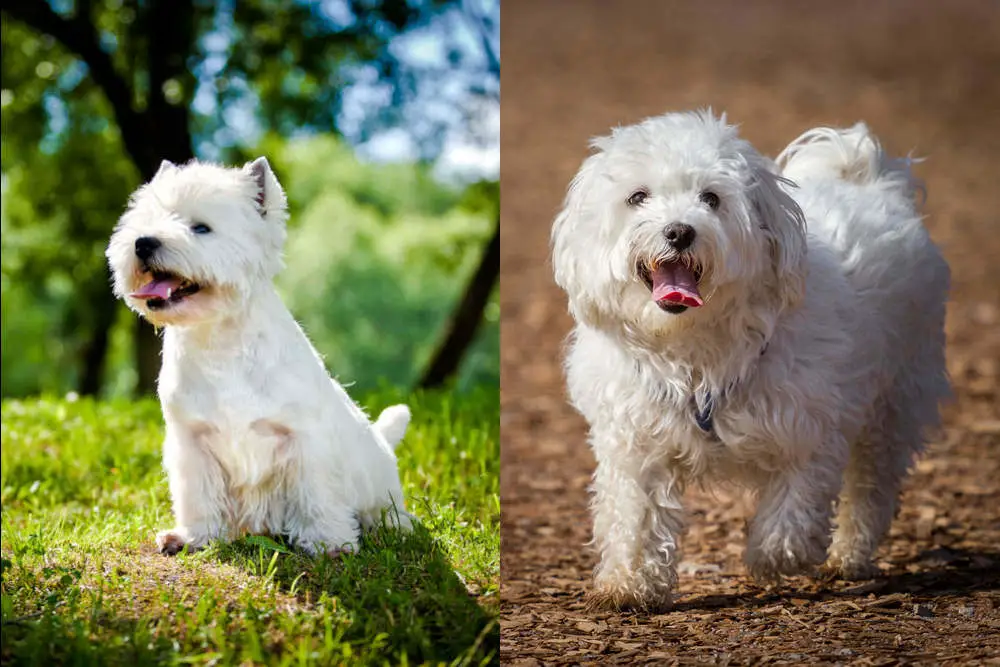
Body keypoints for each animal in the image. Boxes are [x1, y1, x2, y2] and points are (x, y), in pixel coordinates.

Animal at [111, 158, 416, 560]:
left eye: (201, 228)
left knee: (387, 510)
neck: (219, 339)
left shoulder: (305, 439)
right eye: (147, 219)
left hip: (378, 485)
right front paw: (193, 536)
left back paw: (391, 527)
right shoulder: (191, 441)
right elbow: (198, 495)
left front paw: (329, 542)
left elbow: (317, 495)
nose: (143, 243)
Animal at [552, 109, 948, 612]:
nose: (679, 231)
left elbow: (793, 510)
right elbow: (635, 518)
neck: (694, 347)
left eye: (711, 198)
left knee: (870, 488)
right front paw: (629, 584)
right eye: (637, 197)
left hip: (894, 403)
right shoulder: (637, 445)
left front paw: (770, 558)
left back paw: (848, 557)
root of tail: (869, 179)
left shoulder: (809, 431)